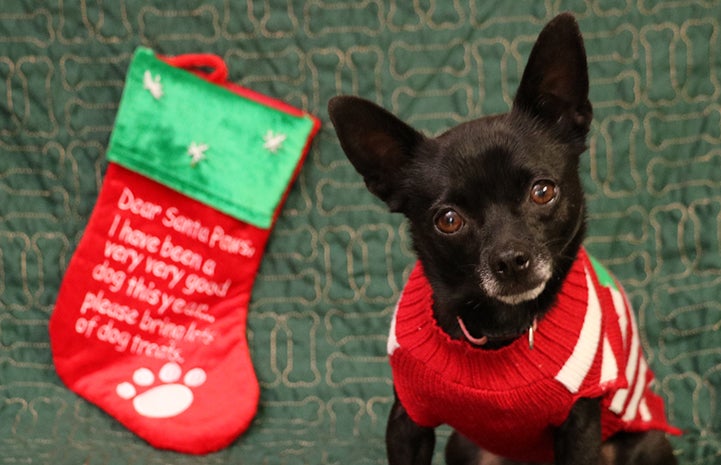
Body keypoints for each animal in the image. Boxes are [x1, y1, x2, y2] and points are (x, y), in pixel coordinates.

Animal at [330, 12, 676, 464]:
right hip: (465, 446)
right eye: (448, 220)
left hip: (646, 442)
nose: (511, 259)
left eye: (543, 191)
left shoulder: (580, 423)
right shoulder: (407, 420)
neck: (496, 330)